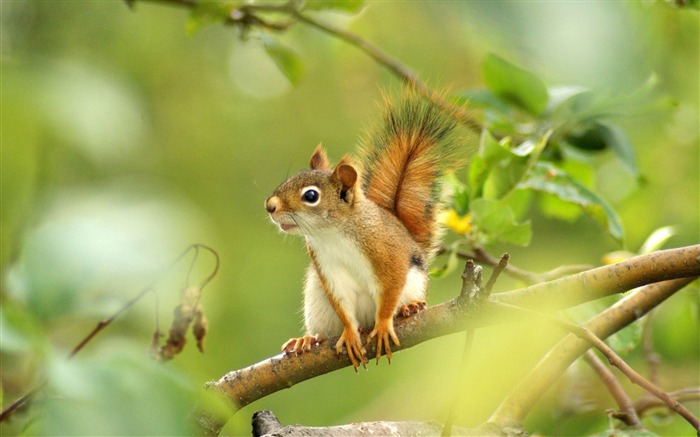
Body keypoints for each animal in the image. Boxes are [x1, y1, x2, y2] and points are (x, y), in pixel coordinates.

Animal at [262, 91, 460, 368]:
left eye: (311, 196)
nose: (270, 206)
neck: (332, 234)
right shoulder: (328, 268)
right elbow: (343, 304)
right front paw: (349, 334)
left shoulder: (388, 253)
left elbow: (389, 289)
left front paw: (385, 323)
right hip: (316, 301)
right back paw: (308, 339)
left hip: (413, 283)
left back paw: (409, 308)